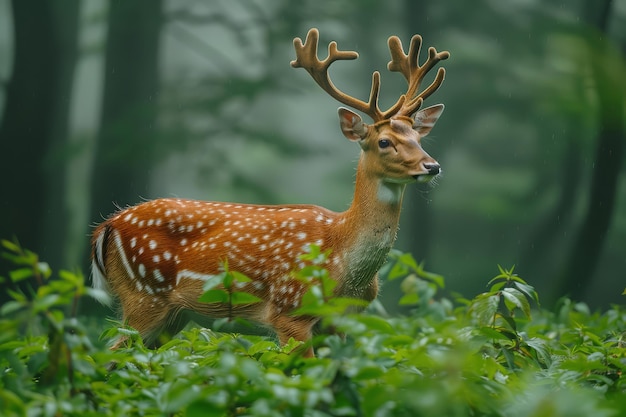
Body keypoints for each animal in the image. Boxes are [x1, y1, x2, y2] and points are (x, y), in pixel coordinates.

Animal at [89, 27, 448, 356]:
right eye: (384, 142)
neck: (341, 255)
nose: (432, 166)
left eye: (419, 138)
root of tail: (107, 226)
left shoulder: (340, 322)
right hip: (144, 294)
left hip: (172, 317)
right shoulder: (291, 311)